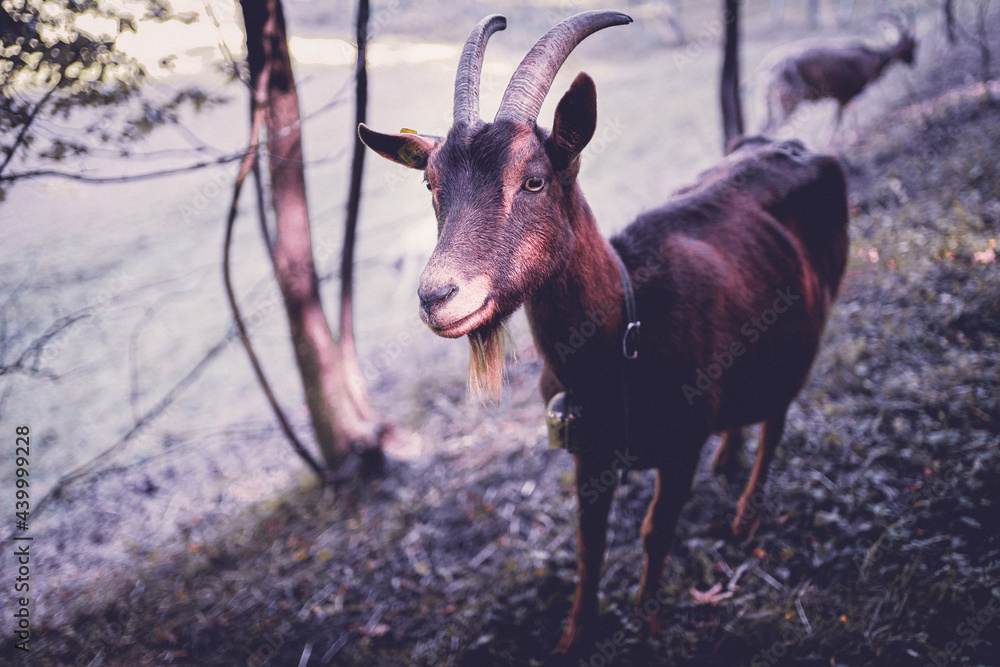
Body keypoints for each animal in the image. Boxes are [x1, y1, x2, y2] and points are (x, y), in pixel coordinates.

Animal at [356, 11, 848, 656]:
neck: (624, 342)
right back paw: (728, 457)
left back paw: (746, 514)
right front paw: (574, 637)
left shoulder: (680, 446)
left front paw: (649, 623)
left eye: (534, 180)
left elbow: (654, 532)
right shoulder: (588, 455)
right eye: (432, 185)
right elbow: (589, 547)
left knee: (781, 410)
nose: (437, 297)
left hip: (816, 315)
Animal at [760, 25, 916, 134]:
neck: (872, 58)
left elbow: (839, 121)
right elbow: (834, 126)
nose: (912, 62)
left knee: (765, 128)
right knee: (773, 128)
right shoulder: (845, 95)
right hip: (789, 101)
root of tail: (770, 71)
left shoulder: (841, 97)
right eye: (913, 45)